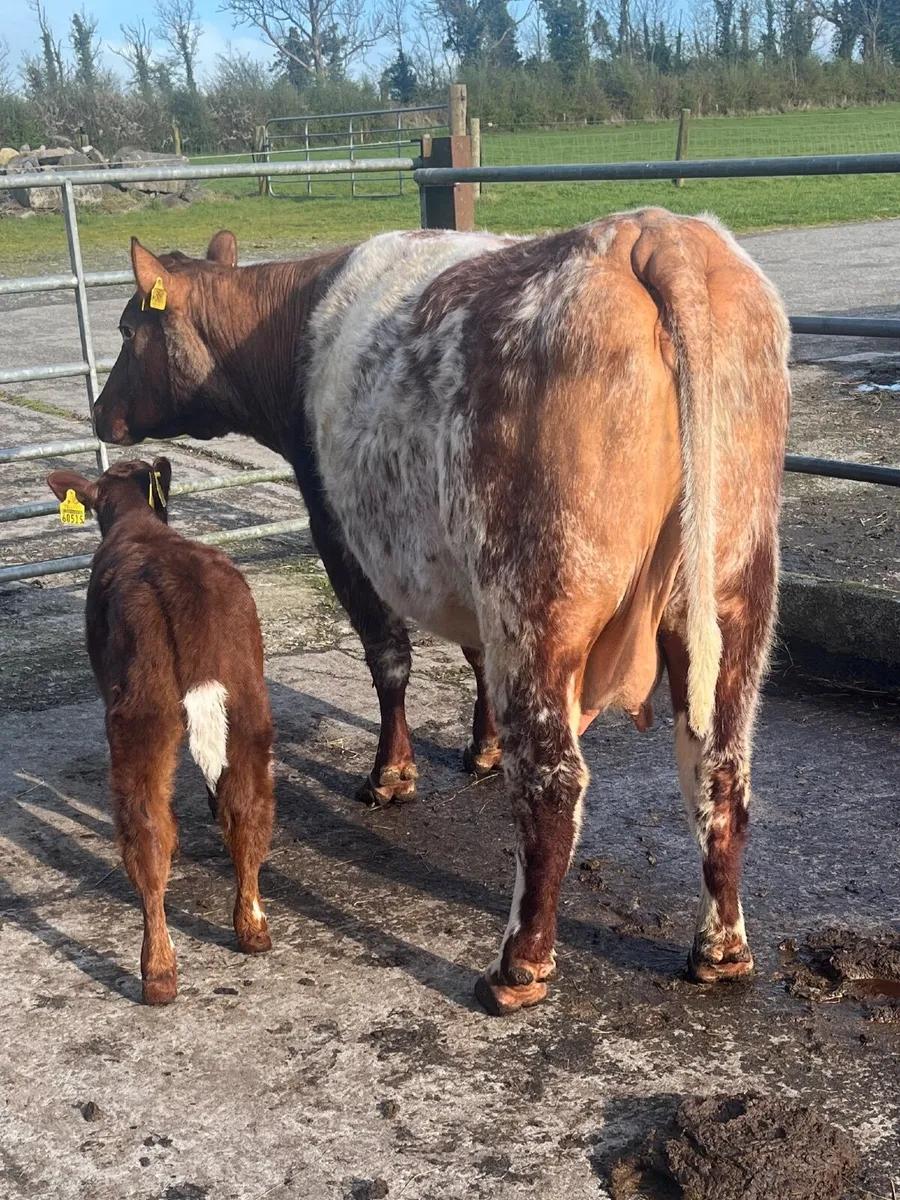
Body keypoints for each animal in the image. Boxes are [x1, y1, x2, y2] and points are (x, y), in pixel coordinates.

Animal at [46, 458, 275, 1004]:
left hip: (138, 719)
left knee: (147, 832)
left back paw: (158, 972)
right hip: (248, 705)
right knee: (248, 809)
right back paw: (252, 929)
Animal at [92, 208, 791, 1014]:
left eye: (125, 327)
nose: (99, 412)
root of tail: (653, 232)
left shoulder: (339, 530)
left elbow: (388, 658)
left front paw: (390, 775)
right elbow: (472, 657)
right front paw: (479, 749)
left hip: (536, 595)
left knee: (555, 780)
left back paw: (518, 966)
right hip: (735, 594)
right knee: (720, 767)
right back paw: (721, 949)